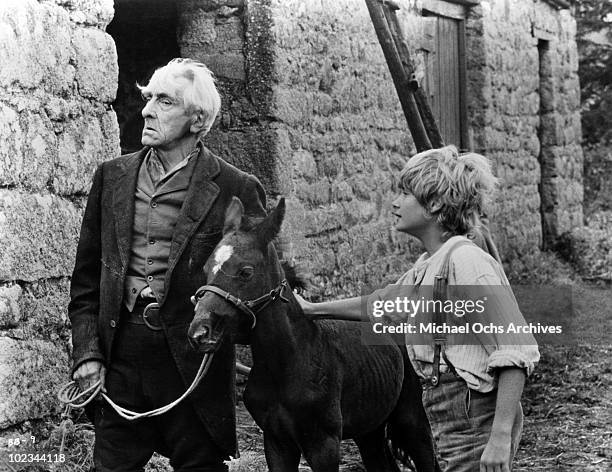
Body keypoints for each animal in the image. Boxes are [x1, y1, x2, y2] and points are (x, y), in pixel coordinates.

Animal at [188, 197, 440, 472]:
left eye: (246, 271)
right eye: (206, 268)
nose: (200, 332)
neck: (288, 362)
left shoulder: (323, 444)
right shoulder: (276, 441)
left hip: (411, 418)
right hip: (369, 428)